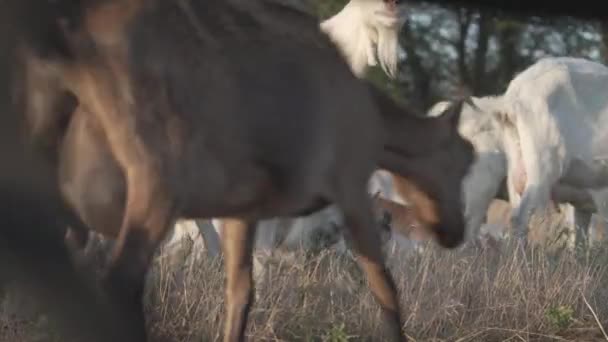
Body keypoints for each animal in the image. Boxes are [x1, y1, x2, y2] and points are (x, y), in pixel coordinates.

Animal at [11, 1, 472, 340]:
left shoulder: (245, 208)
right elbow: (385, 290)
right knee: (120, 280)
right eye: (465, 156)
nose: (456, 233)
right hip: (157, 177)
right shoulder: (350, 185)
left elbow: (241, 291)